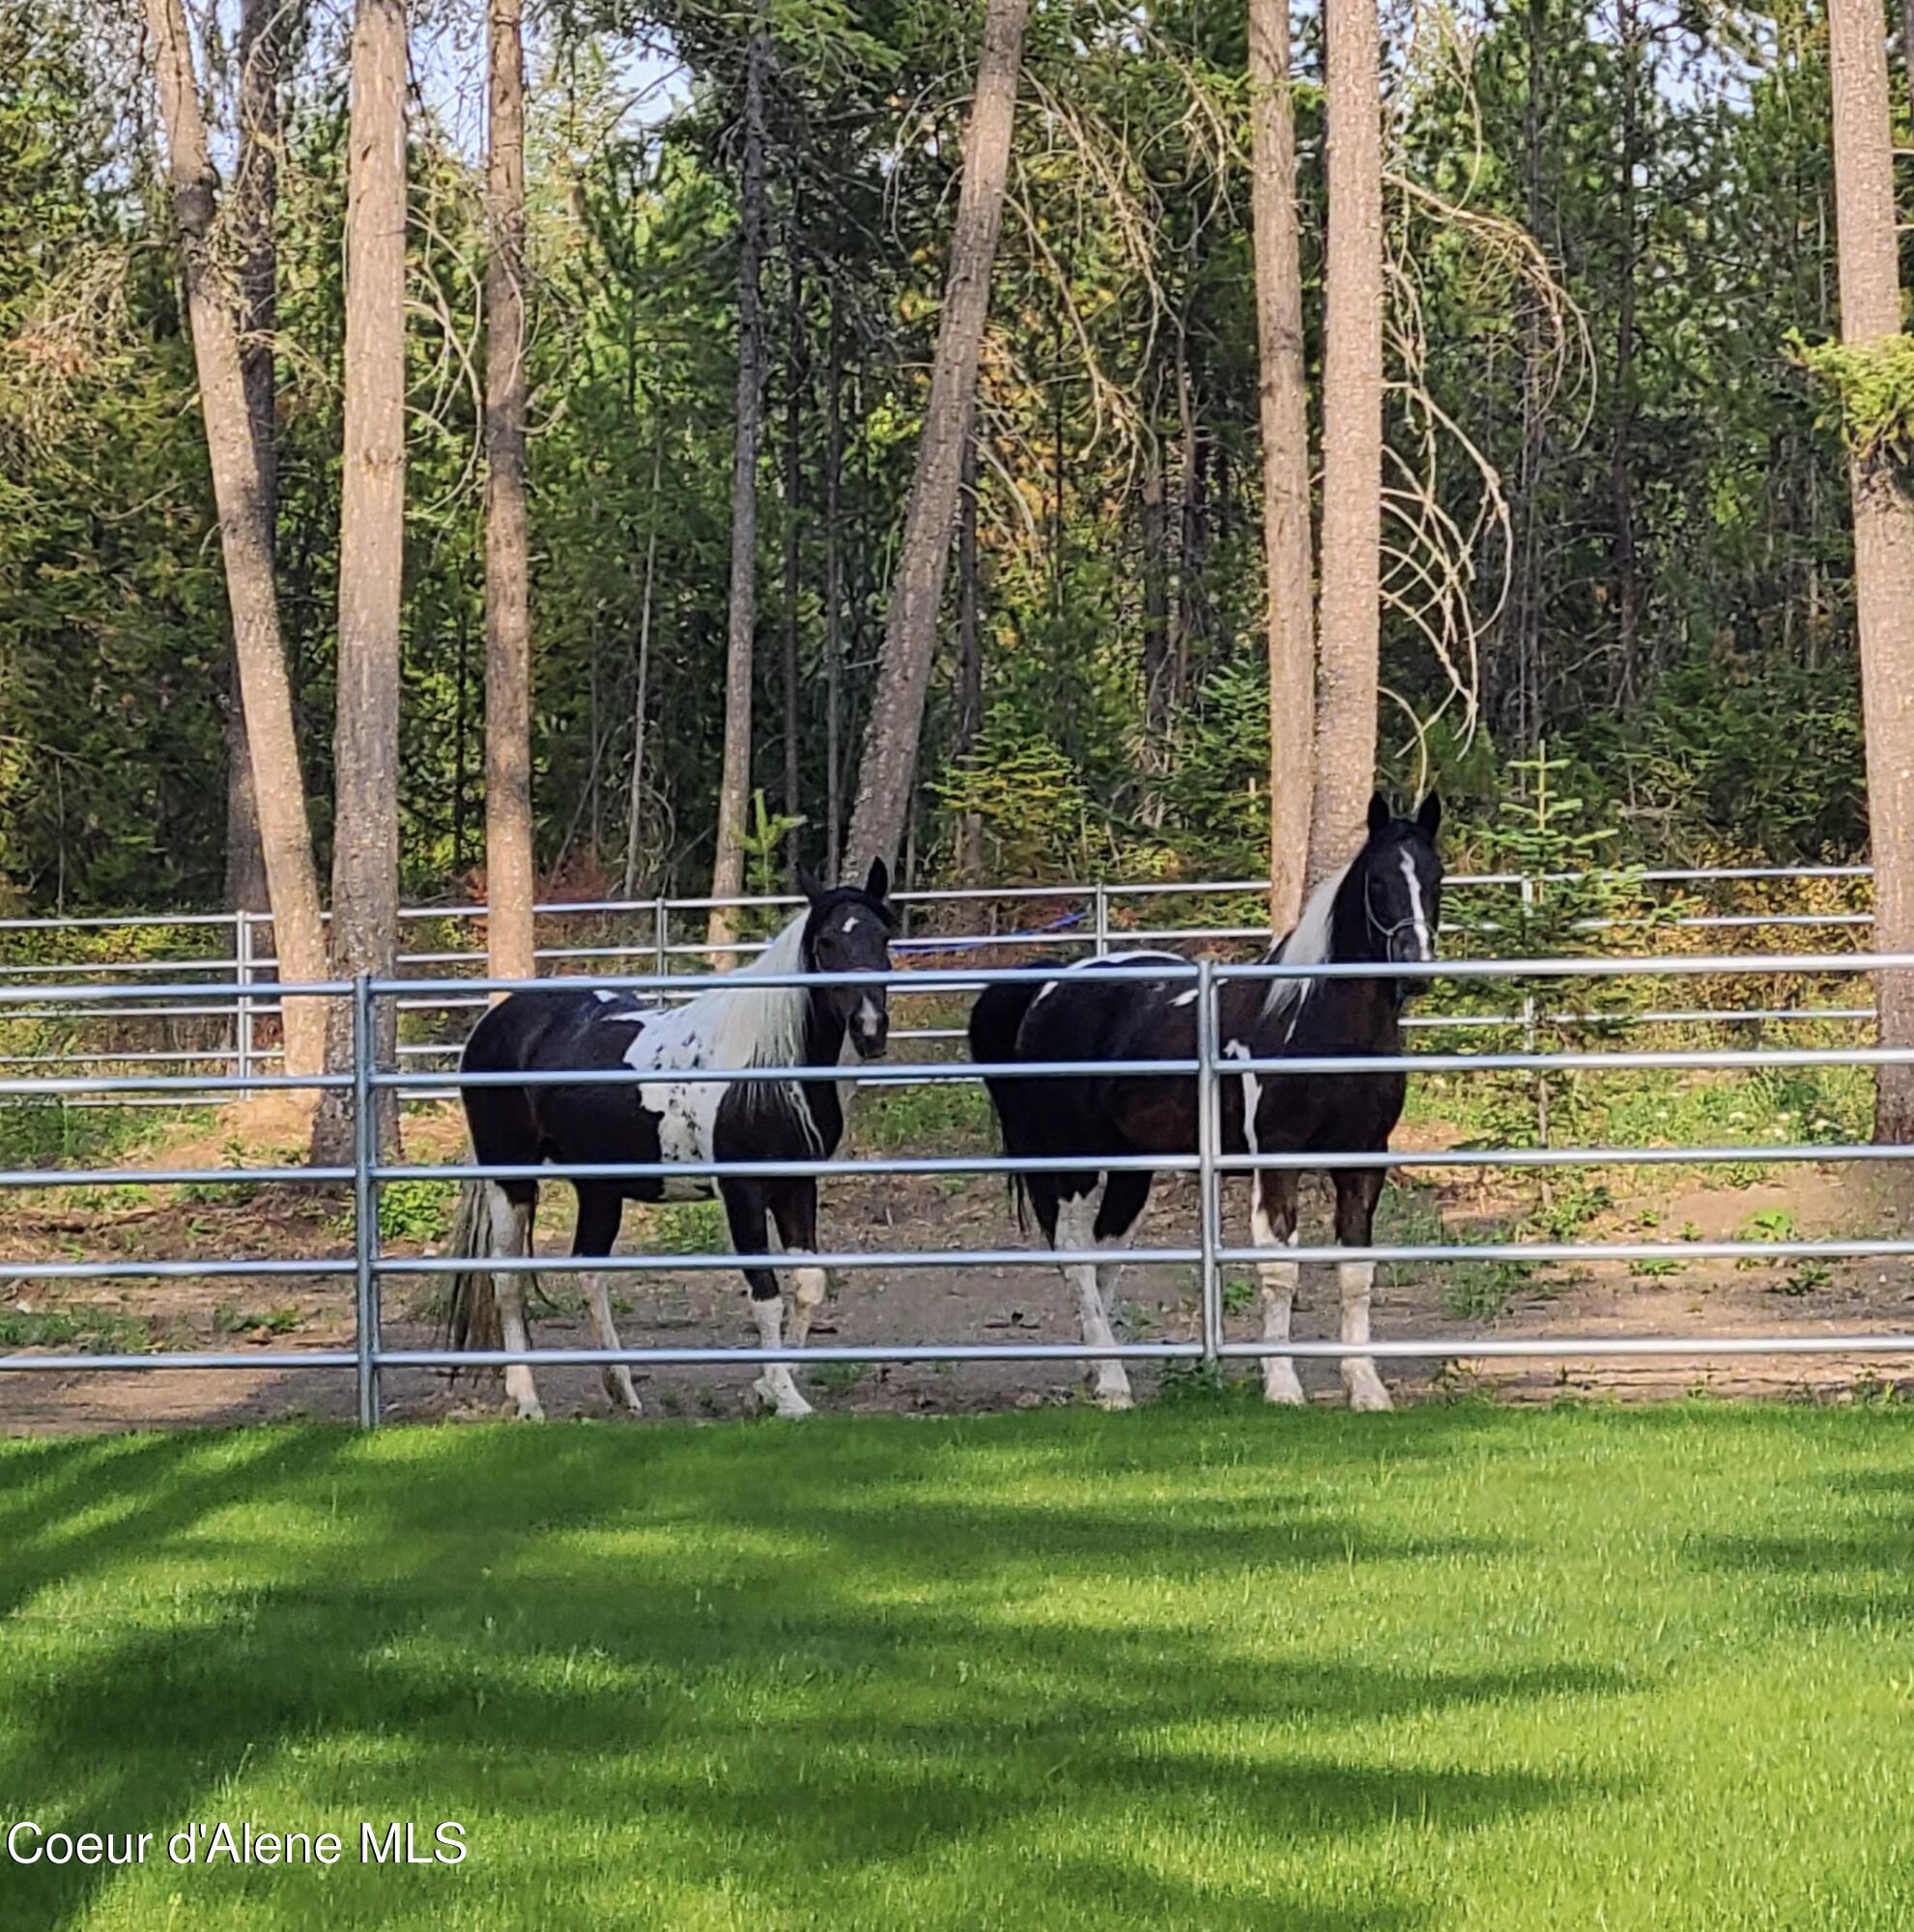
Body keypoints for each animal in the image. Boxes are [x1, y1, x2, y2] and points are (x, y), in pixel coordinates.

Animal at [446, 859, 896, 1421]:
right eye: (828, 942)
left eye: (883, 936)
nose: (871, 1028)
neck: (767, 1070)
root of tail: (493, 1022)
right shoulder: (743, 1193)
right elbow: (766, 1293)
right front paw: (785, 1397)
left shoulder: (797, 1185)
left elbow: (809, 1286)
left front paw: (768, 1388)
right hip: (511, 1178)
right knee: (506, 1280)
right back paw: (527, 1400)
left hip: (598, 1189)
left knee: (588, 1273)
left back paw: (622, 1389)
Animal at [968, 793, 1442, 1411]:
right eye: (1379, 879)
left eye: (1435, 876)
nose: (1415, 964)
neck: (1314, 1020)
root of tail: (1049, 986)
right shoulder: (1278, 1160)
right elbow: (1281, 1271)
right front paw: (1282, 1387)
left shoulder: (1363, 1159)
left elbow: (1356, 1275)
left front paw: (1366, 1388)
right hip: (1074, 1158)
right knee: (1075, 1254)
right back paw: (1114, 1385)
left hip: (1131, 1167)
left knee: (1104, 1253)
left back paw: (1100, 1370)